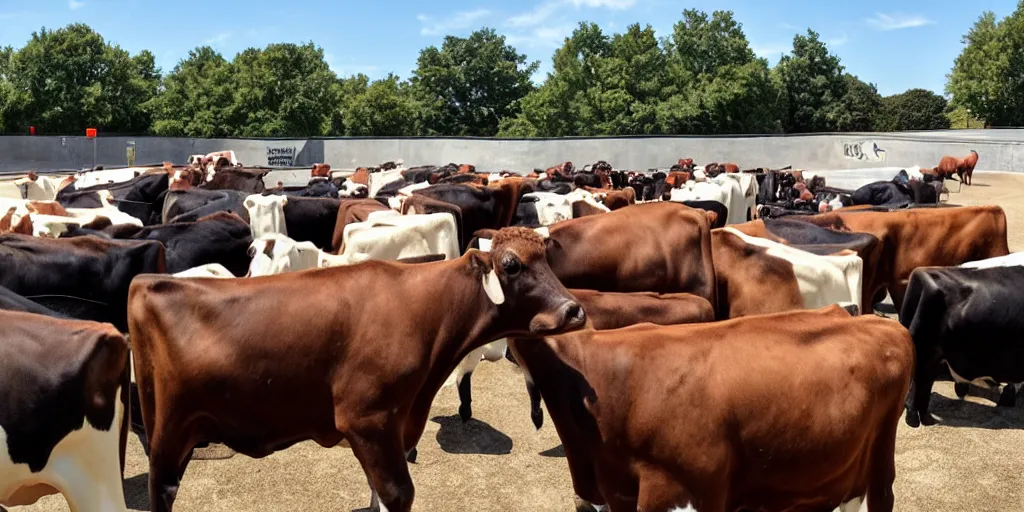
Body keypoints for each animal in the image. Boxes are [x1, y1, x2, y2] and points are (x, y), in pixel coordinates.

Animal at [130, 228, 585, 512]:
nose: (574, 310)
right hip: (170, 434)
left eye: (547, 259)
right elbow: (398, 494)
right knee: (161, 491)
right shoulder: (368, 419)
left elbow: (376, 495)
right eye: (511, 265)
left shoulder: (395, 425)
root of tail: (147, 282)